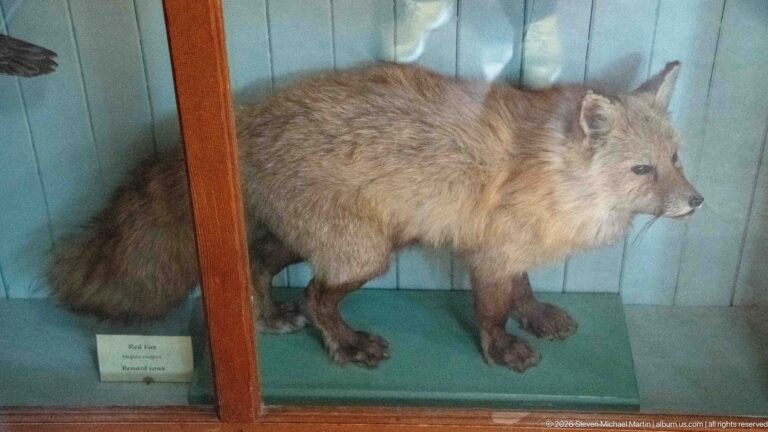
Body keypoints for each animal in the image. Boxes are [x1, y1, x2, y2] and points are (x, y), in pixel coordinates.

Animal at [49, 61, 702, 372]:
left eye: (675, 158)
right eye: (642, 170)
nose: (696, 201)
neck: (551, 172)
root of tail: (247, 115)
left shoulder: (510, 248)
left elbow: (523, 291)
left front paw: (538, 317)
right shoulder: (491, 254)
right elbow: (493, 312)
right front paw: (503, 353)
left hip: (315, 238)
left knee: (258, 263)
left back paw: (269, 318)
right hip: (362, 254)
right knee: (316, 296)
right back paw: (345, 344)